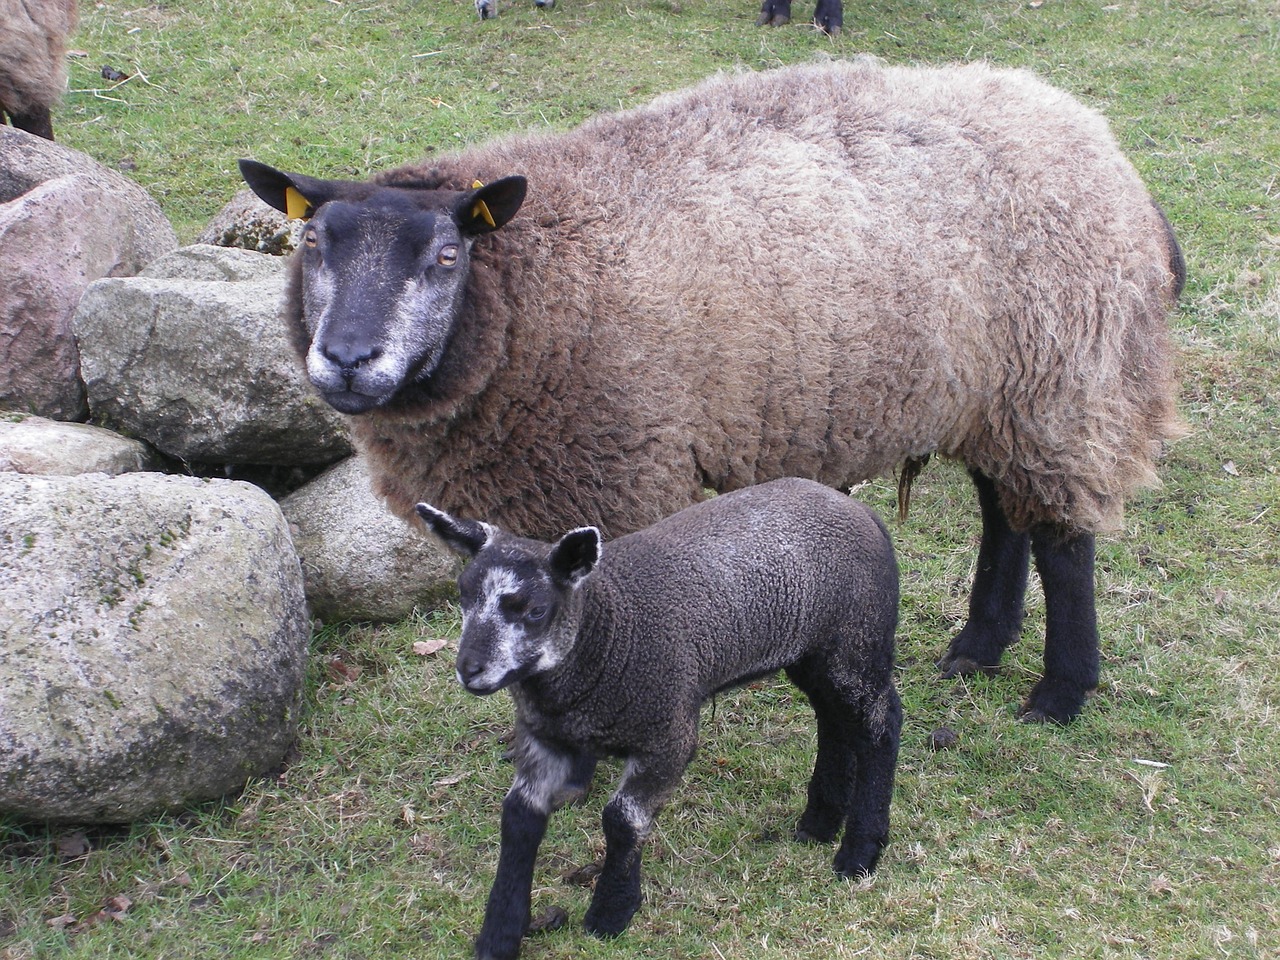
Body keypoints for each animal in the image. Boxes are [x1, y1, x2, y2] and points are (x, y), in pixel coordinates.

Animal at [235, 54, 1182, 727]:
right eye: (310, 244)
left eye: (443, 256)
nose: (348, 358)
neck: (535, 292)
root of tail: (1095, 137)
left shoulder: (611, 474)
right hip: (996, 389)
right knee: (1004, 511)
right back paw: (978, 646)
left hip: (1064, 378)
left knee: (1063, 540)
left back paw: (1060, 693)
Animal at [417, 478, 901, 960]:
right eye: (463, 595)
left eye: (535, 610)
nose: (470, 669)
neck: (606, 633)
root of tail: (863, 512)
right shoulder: (543, 739)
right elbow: (519, 817)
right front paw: (499, 935)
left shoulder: (669, 734)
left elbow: (621, 819)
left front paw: (610, 913)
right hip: (814, 651)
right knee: (834, 722)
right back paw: (818, 825)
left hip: (856, 639)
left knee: (881, 723)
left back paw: (859, 851)